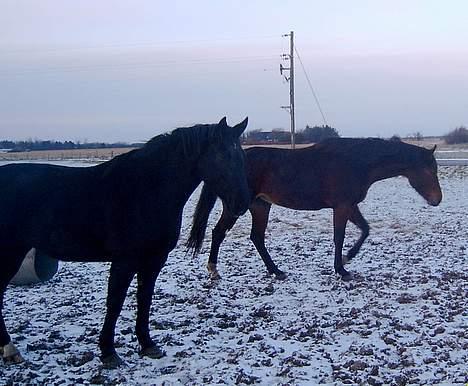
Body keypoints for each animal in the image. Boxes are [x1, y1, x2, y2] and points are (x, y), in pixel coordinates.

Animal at [0, 117, 250, 368]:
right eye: (222, 156)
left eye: (241, 157)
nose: (241, 204)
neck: (146, 191)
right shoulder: (125, 261)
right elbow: (115, 302)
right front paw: (108, 352)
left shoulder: (154, 259)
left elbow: (144, 298)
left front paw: (147, 344)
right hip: (10, 253)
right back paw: (10, 350)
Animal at [187, 137, 442, 282]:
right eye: (429, 170)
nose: (437, 200)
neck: (356, 162)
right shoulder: (341, 207)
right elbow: (339, 237)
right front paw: (342, 270)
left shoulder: (350, 205)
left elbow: (365, 230)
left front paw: (348, 258)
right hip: (237, 206)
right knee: (219, 232)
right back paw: (214, 270)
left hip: (260, 206)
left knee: (256, 238)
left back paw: (276, 271)